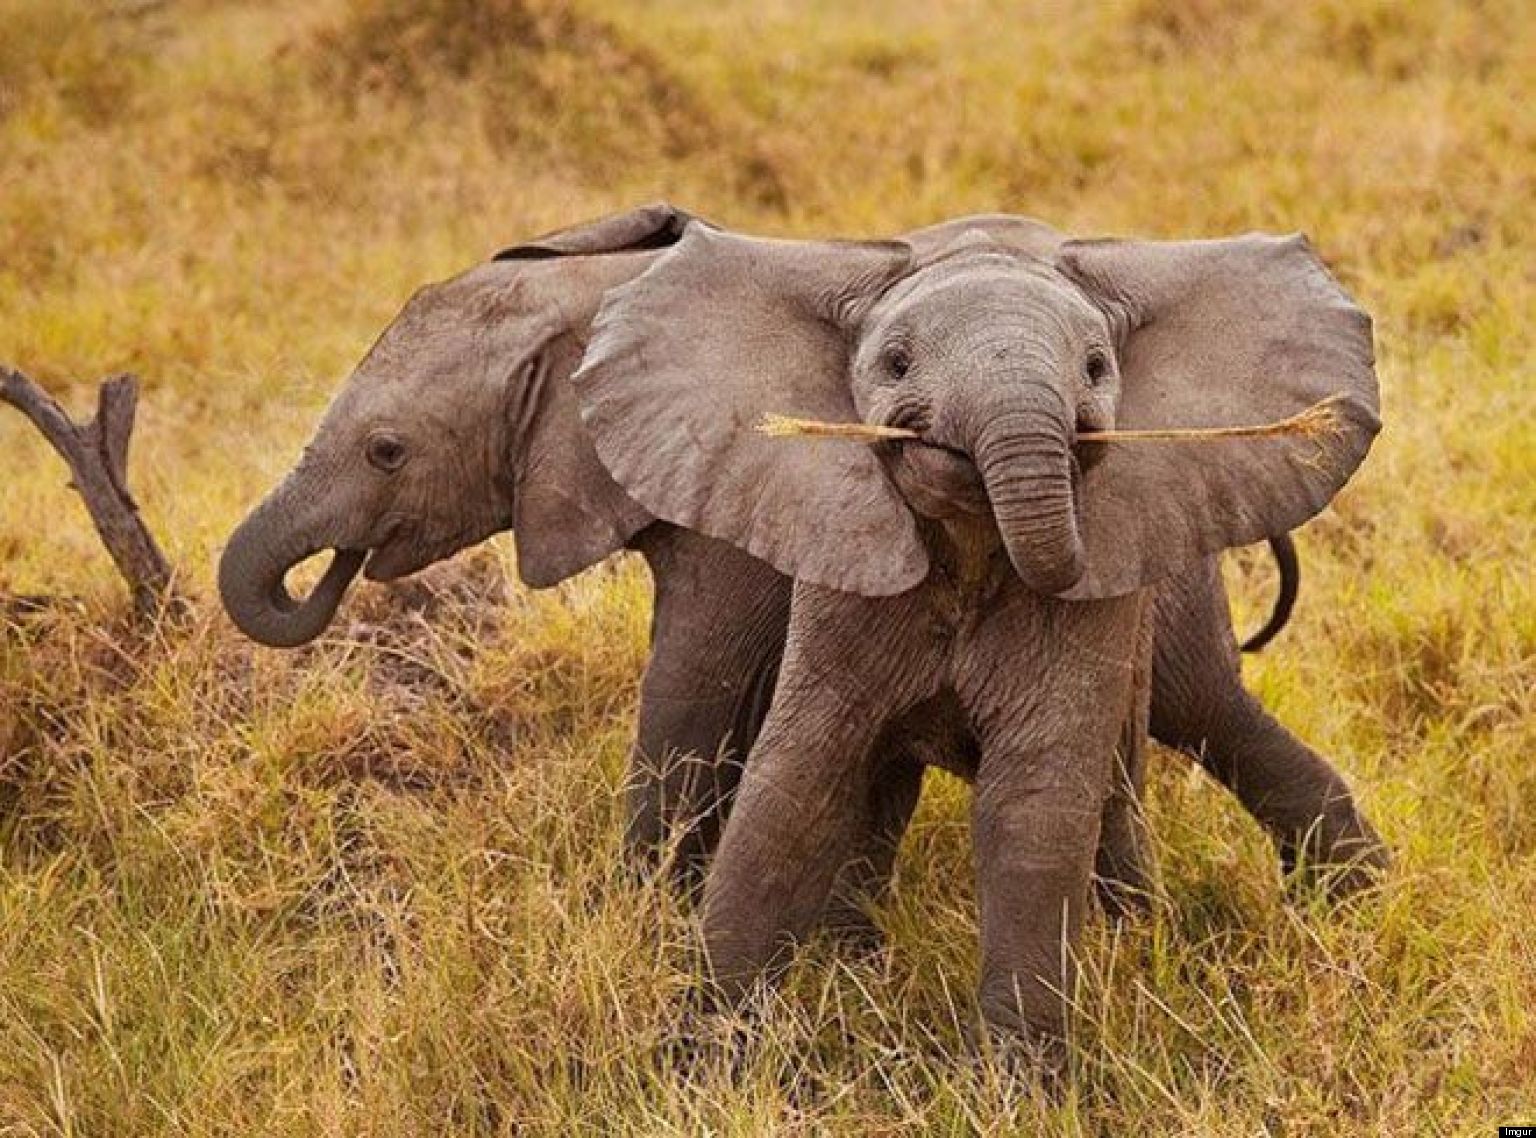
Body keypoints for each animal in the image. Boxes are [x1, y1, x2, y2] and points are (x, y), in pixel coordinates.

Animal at [219, 205, 1394, 933]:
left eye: (387, 452)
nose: (329, 577)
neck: (594, 292)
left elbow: (691, 687)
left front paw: (637, 914)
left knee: (1208, 709)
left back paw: (1346, 911)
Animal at [568, 219, 1382, 1056]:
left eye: (1096, 368)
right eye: (896, 363)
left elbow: (1031, 806)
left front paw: (1013, 1078)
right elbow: (796, 784)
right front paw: (702, 1055)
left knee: (1202, 717)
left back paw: (1347, 908)